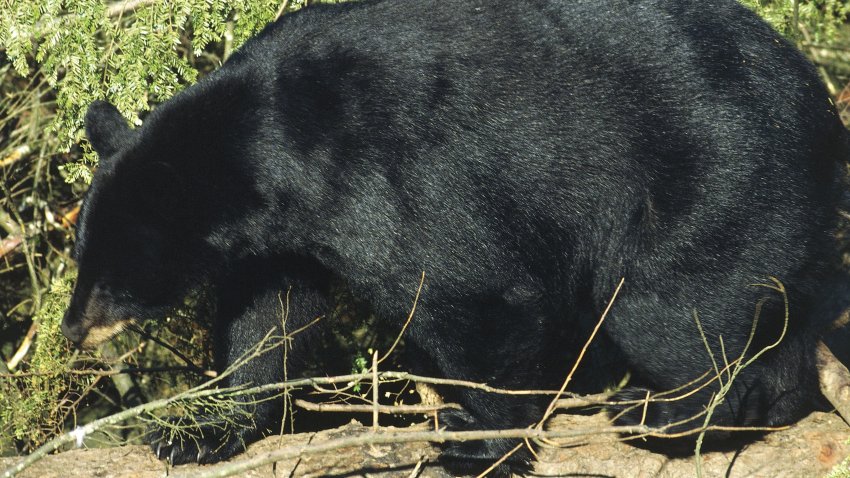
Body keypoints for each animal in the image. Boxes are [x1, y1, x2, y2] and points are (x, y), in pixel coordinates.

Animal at [61, 0, 848, 472]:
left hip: (720, 181)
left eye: (109, 273)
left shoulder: (385, 177)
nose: (71, 327)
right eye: (80, 256)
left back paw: (667, 417)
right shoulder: (281, 239)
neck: (272, 147)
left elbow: (474, 291)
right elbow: (269, 322)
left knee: (672, 311)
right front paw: (199, 430)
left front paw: (480, 442)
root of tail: (823, 109)